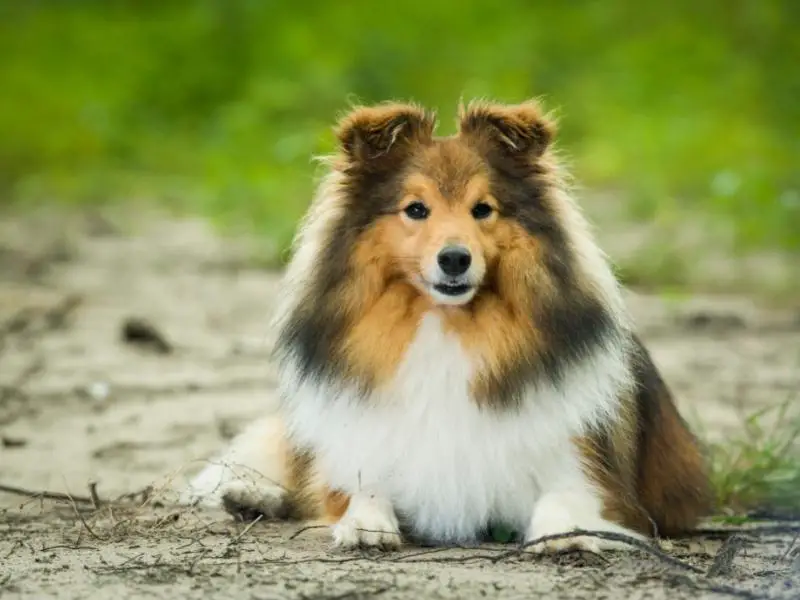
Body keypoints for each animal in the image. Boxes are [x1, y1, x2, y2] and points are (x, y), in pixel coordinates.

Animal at [183, 98, 712, 552]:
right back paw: (248, 495)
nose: (454, 259)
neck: (448, 327)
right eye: (416, 209)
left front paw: (563, 533)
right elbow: (356, 485)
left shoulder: (592, 471)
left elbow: (565, 498)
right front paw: (365, 521)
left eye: (483, 209)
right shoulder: (361, 449)